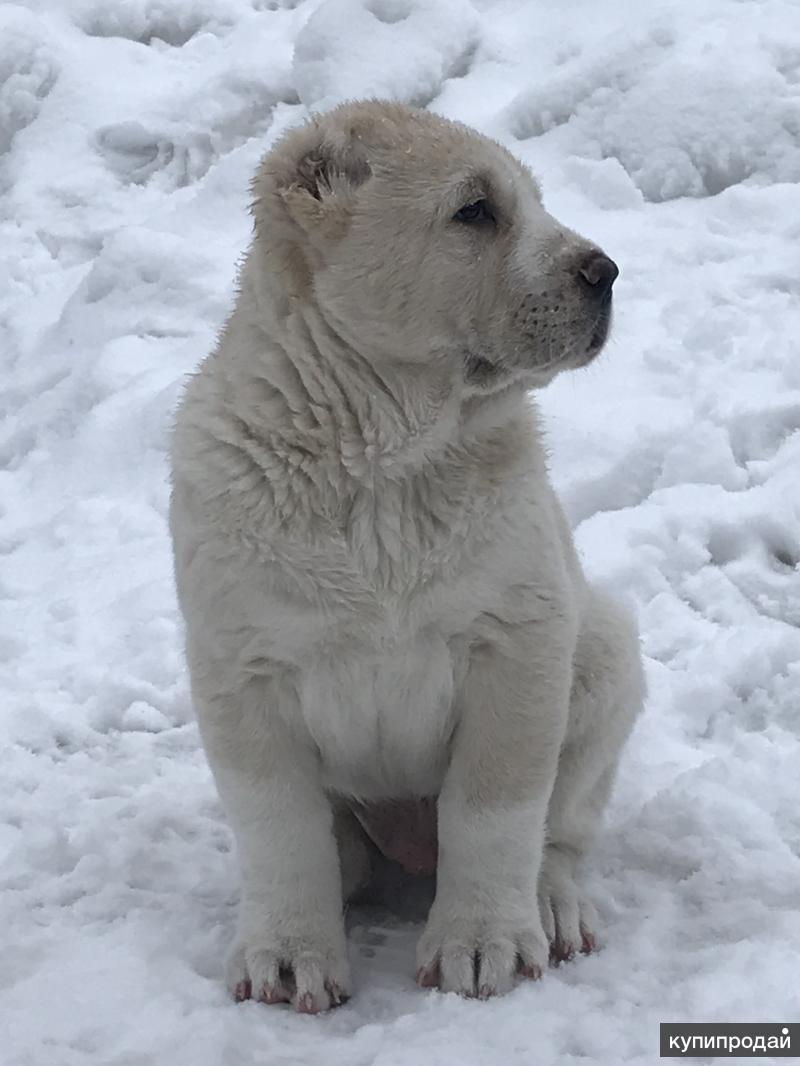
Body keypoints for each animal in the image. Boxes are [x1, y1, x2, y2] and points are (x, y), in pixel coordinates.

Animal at [169, 101, 644, 1014]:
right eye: (475, 211)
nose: (604, 271)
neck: (381, 466)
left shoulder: (521, 637)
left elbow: (496, 804)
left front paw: (484, 944)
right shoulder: (241, 665)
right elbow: (279, 825)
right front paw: (290, 957)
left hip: (605, 643)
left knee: (562, 828)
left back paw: (551, 907)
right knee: (339, 850)